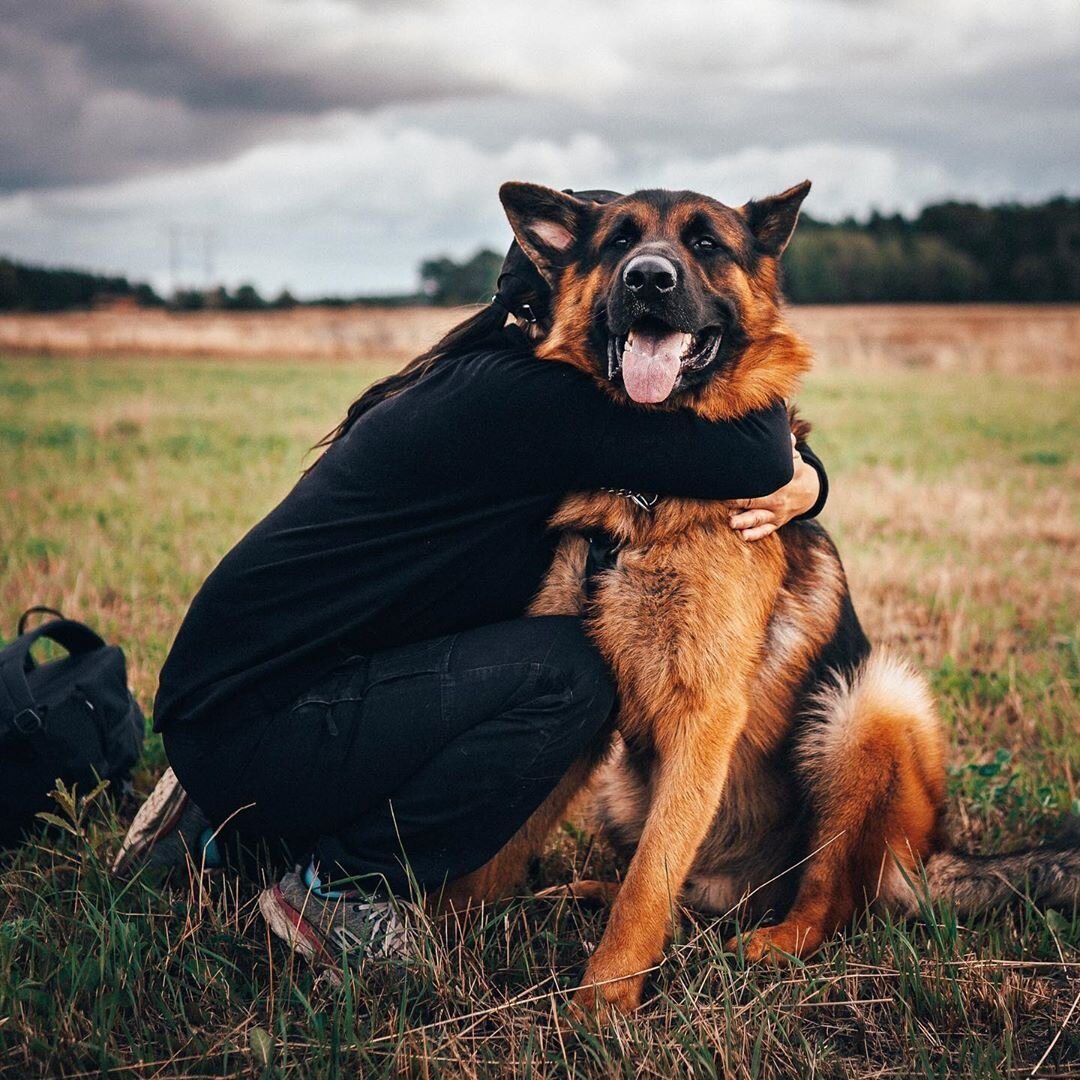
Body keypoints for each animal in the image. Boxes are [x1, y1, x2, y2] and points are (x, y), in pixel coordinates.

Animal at [440, 181, 1080, 1015]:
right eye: (619, 243)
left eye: (706, 244)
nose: (649, 280)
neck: (646, 490)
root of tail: (937, 858)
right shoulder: (588, 708)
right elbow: (512, 844)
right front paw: (445, 932)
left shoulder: (704, 711)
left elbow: (647, 885)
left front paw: (600, 1007)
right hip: (625, 788)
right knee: (677, 891)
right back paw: (592, 894)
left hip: (867, 709)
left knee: (829, 896)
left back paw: (774, 943)